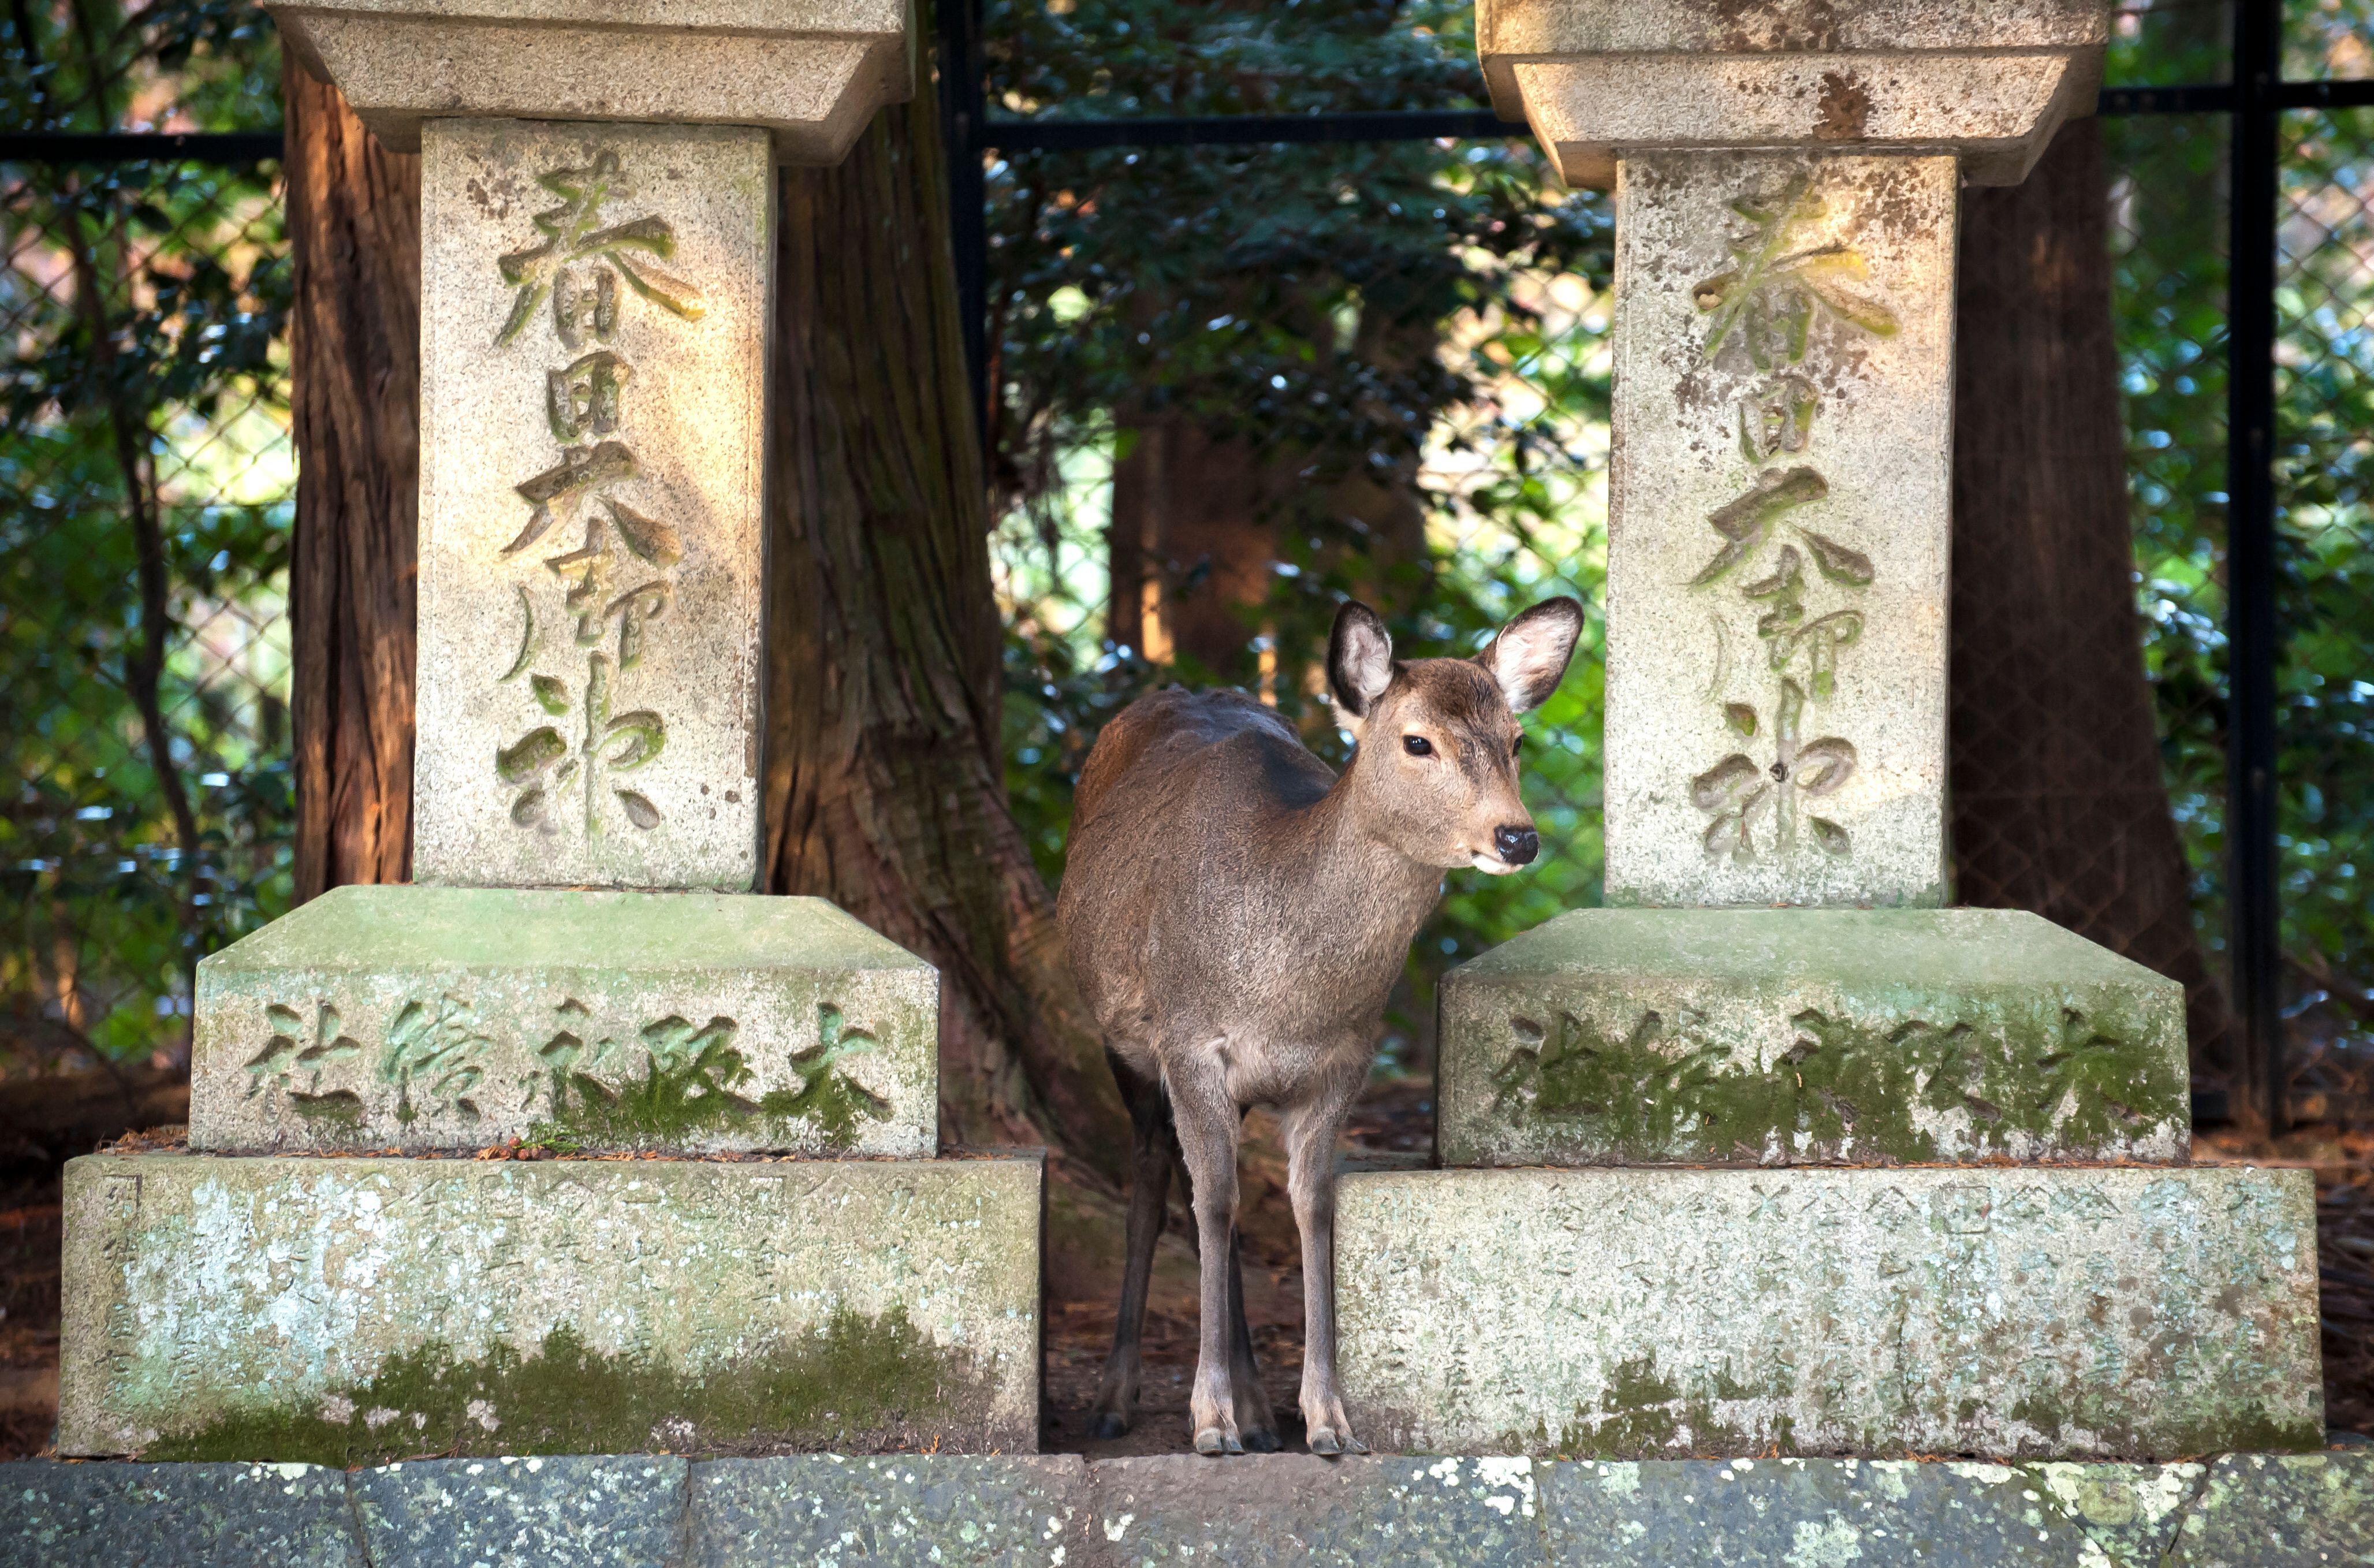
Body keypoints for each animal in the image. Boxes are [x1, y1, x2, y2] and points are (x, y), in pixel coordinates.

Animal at [1054, 594, 1576, 1454]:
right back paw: (1115, 1398)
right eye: (1417, 740)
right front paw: (1208, 1420)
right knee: (1157, 1178)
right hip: (1120, 1039)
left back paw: (1261, 1412)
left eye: (1516, 739)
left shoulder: (1342, 1064)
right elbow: (1214, 1202)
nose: (1517, 836)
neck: (1288, 997)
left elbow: (1310, 1208)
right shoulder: (1188, 1041)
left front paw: (1326, 1418)